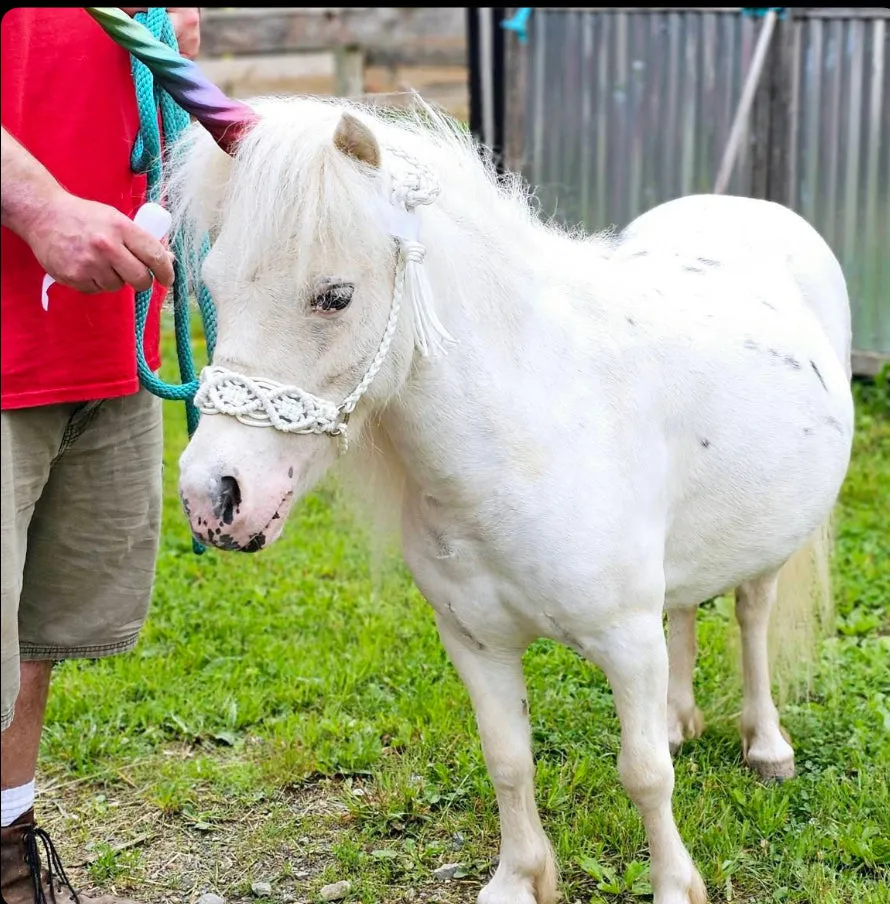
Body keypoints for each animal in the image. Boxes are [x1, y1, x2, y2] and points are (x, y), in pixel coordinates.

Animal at [170, 99, 848, 904]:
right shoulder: (475, 640)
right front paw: (521, 878)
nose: (212, 496)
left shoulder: (627, 642)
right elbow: (508, 760)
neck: (528, 435)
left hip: (768, 551)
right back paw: (680, 717)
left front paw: (674, 885)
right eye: (214, 287)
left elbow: (645, 776)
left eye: (334, 296)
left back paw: (767, 746)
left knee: (751, 621)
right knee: (685, 610)